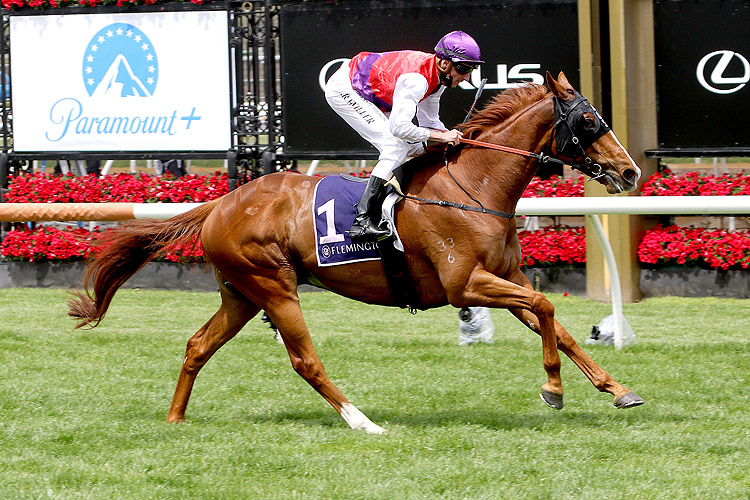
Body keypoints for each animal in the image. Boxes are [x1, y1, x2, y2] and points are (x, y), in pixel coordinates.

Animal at [69, 73, 648, 434]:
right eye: (589, 122)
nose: (630, 172)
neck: (474, 185)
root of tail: (221, 202)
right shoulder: (465, 283)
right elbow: (548, 309)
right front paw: (553, 388)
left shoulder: (509, 279)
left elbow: (557, 324)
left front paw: (617, 389)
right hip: (273, 287)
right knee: (304, 359)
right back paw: (362, 421)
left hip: (241, 294)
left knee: (197, 346)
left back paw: (175, 419)